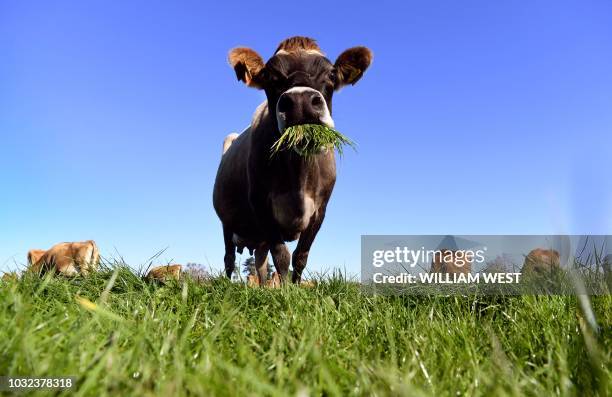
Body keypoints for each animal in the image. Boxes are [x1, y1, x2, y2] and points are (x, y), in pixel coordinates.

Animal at [213, 35, 370, 284]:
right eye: (270, 76)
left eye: (331, 74)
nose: (300, 101)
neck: (298, 177)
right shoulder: (261, 204)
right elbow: (282, 256)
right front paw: (286, 289)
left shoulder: (320, 210)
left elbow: (300, 256)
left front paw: (295, 287)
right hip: (227, 222)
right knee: (229, 258)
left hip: (259, 237)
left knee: (260, 262)